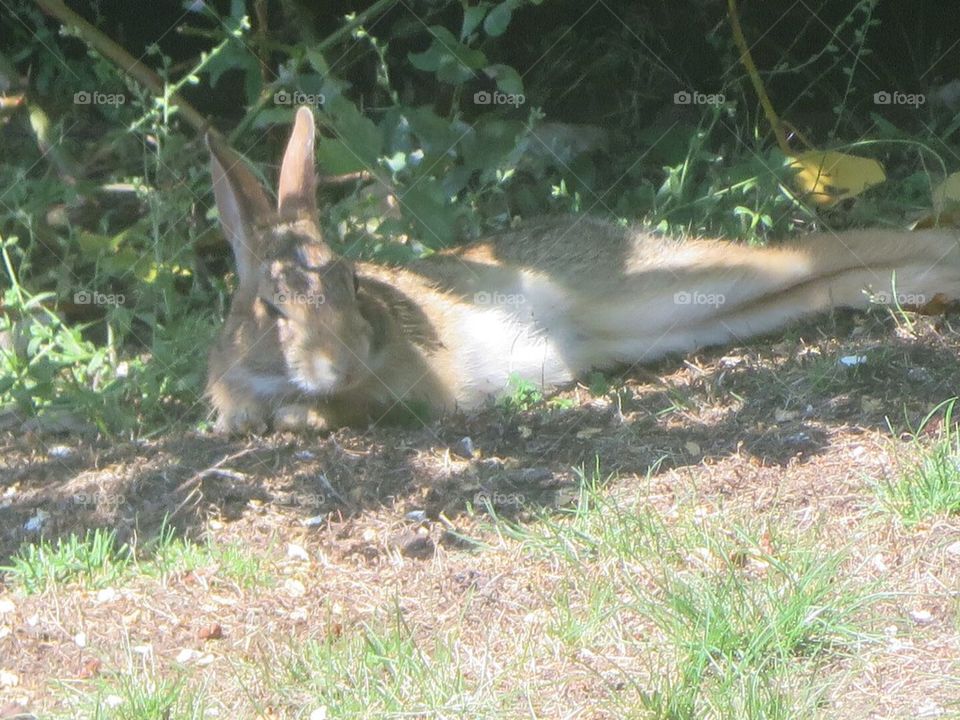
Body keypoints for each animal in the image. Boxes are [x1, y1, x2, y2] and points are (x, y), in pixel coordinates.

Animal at [204, 107, 960, 434]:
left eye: (352, 284)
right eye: (271, 307)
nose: (337, 363)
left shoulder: (413, 386)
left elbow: (360, 406)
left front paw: (300, 416)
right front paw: (248, 424)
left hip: (644, 287)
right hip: (666, 321)